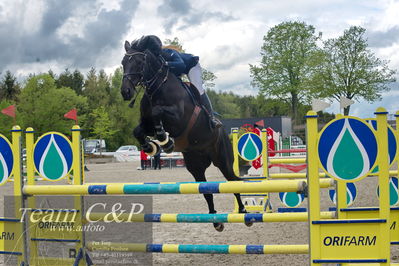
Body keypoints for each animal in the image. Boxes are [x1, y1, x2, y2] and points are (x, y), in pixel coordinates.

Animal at [120, 36, 252, 232]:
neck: (157, 88)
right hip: (195, 165)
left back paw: (244, 212)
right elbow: (138, 130)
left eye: (138, 62)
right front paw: (151, 146)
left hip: (222, 159)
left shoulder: (178, 119)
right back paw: (216, 220)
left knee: (233, 180)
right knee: (206, 190)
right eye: (123, 63)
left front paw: (164, 139)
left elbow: (158, 112)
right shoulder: (146, 124)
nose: (125, 92)